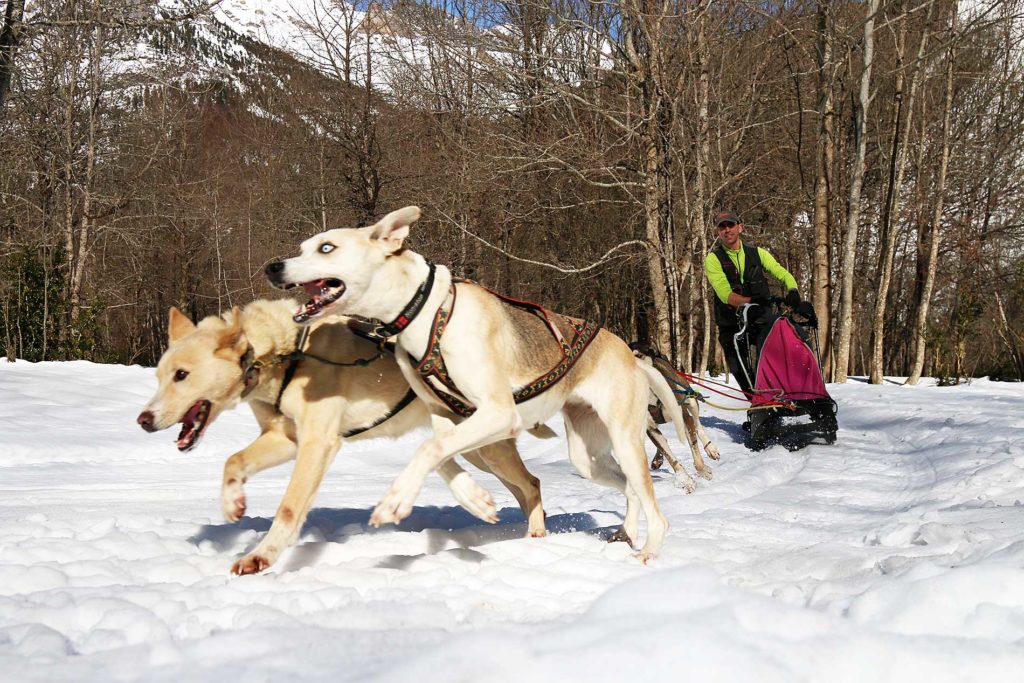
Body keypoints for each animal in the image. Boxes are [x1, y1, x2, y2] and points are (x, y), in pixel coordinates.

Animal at [142, 301, 552, 573]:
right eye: (159, 376)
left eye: (181, 375)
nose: (143, 420)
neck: (287, 352)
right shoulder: (285, 439)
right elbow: (233, 461)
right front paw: (232, 502)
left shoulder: (317, 443)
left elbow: (289, 508)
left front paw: (262, 555)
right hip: (480, 452)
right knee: (521, 485)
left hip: (488, 449)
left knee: (531, 483)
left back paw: (535, 535)